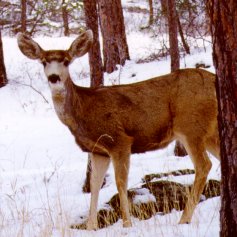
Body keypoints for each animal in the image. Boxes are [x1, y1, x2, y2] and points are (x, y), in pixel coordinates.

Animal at [17, 29, 220, 230]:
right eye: (44, 61)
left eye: (66, 61)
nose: (54, 78)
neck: (83, 110)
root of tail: (213, 81)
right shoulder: (98, 151)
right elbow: (95, 185)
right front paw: (91, 226)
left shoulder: (119, 140)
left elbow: (120, 182)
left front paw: (127, 224)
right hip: (209, 132)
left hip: (190, 126)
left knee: (204, 165)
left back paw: (184, 219)